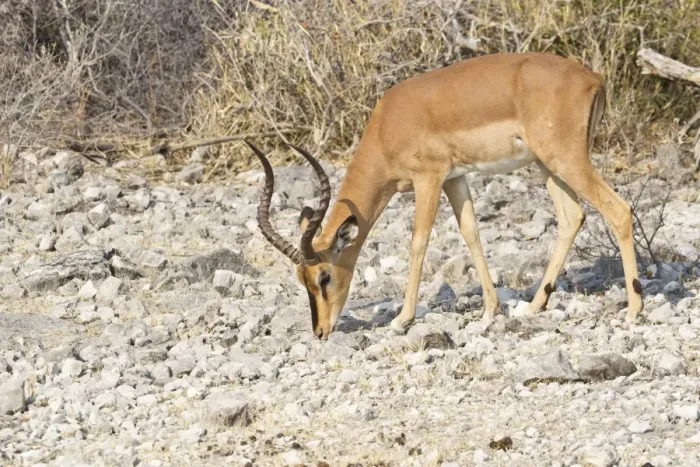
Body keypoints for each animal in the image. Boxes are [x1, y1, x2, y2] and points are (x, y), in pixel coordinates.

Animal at [244, 52, 644, 340]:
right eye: (301, 280)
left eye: (324, 277)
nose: (320, 331)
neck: (389, 124)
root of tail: (593, 79)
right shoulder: (456, 179)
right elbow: (471, 233)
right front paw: (490, 310)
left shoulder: (429, 178)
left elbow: (418, 241)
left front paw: (402, 319)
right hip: (548, 166)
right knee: (572, 217)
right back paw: (533, 307)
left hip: (566, 160)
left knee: (619, 209)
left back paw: (633, 309)